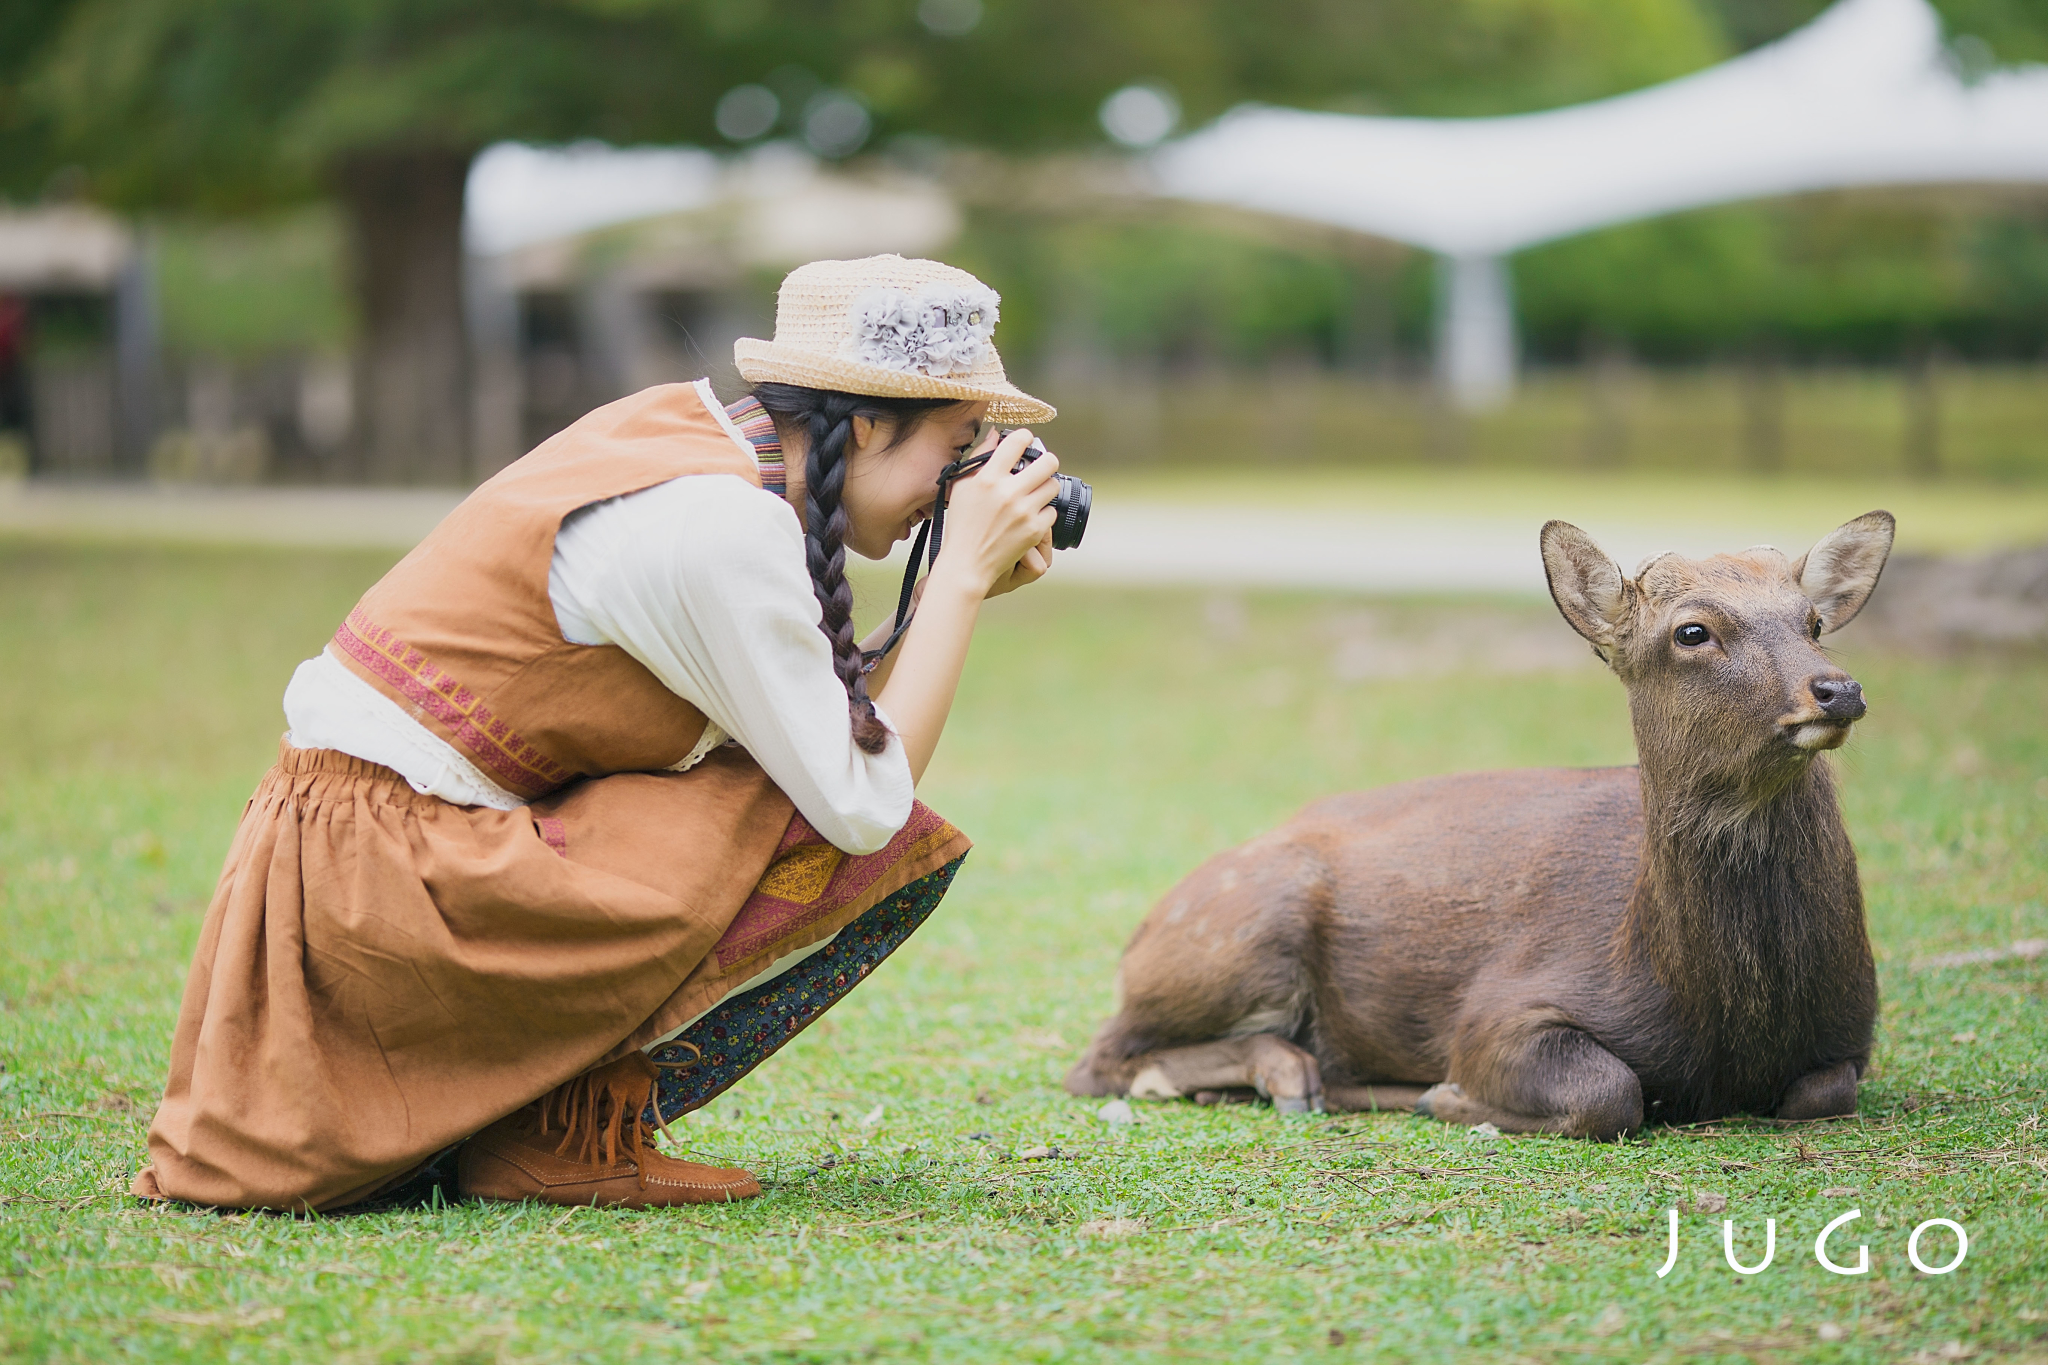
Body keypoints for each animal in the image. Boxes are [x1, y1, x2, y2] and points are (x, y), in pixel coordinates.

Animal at [1064, 511, 1892, 1146]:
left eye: (1814, 621)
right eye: (1692, 630)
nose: (1838, 688)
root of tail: (1142, 933)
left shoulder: (1854, 1031)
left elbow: (1823, 1092)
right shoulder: (1501, 1007)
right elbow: (1609, 1092)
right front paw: (1449, 1095)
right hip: (1238, 926)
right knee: (1098, 1058)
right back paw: (1293, 1074)